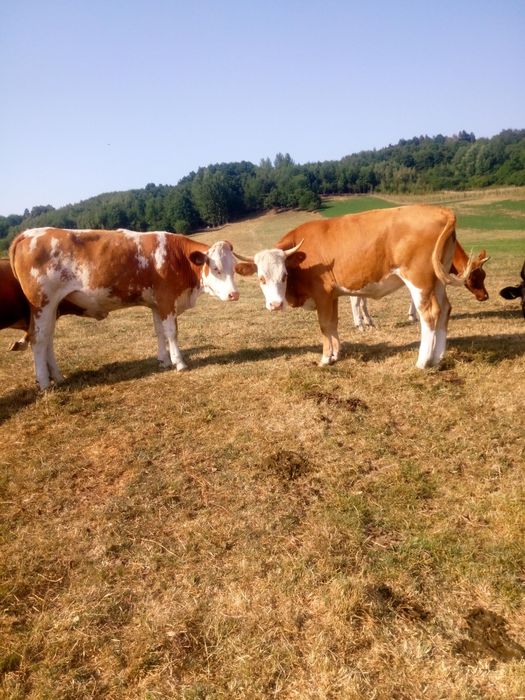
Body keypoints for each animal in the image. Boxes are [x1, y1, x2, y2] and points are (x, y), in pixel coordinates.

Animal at [9, 231, 238, 392]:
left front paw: (163, 361)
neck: (176, 256)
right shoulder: (166, 301)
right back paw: (44, 383)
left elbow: (159, 332)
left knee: (47, 339)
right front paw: (179, 363)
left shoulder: (156, 304)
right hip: (43, 305)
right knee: (39, 341)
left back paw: (57, 377)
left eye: (234, 267)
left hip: (52, 308)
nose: (234, 294)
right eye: (216, 269)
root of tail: (29, 233)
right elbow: (171, 333)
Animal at [235, 205, 468, 370]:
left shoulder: (322, 294)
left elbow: (324, 326)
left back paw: (422, 361)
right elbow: (333, 324)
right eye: (261, 278)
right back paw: (438, 357)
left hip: (419, 281)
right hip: (437, 280)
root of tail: (439, 210)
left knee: (429, 314)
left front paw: (325, 358)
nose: (275, 305)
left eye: (284, 276)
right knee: (444, 310)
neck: (302, 259)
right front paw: (336, 354)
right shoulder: (333, 296)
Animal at [350, 241, 490, 328]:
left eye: (484, 275)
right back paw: (359, 323)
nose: (485, 296)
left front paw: (413, 315)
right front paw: (414, 315)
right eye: (472, 278)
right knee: (355, 299)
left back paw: (368, 321)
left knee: (361, 299)